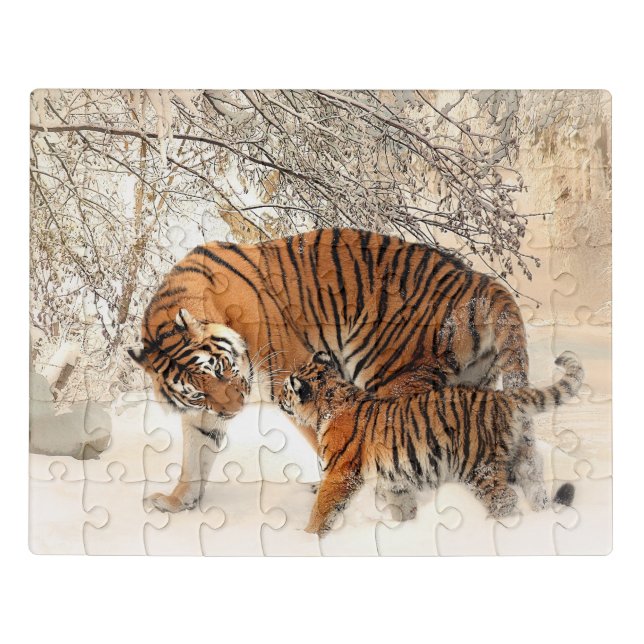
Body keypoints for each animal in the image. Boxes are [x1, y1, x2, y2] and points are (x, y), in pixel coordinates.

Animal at [129, 227, 543, 514]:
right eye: (198, 391)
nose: (234, 410)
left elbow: (329, 441)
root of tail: (480, 281)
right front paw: (178, 502)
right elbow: (195, 453)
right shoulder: (203, 413)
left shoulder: (293, 378)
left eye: (220, 369)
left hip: (394, 378)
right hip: (470, 389)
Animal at [278, 351, 582, 536]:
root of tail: (502, 397)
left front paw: (308, 538)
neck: (330, 403)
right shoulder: (395, 480)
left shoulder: (340, 473)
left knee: (504, 500)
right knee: (535, 488)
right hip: (521, 459)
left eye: (285, 389)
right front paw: (405, 528)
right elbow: (403, 506)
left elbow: (323, 508)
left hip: (478, 467)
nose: (278, 399)